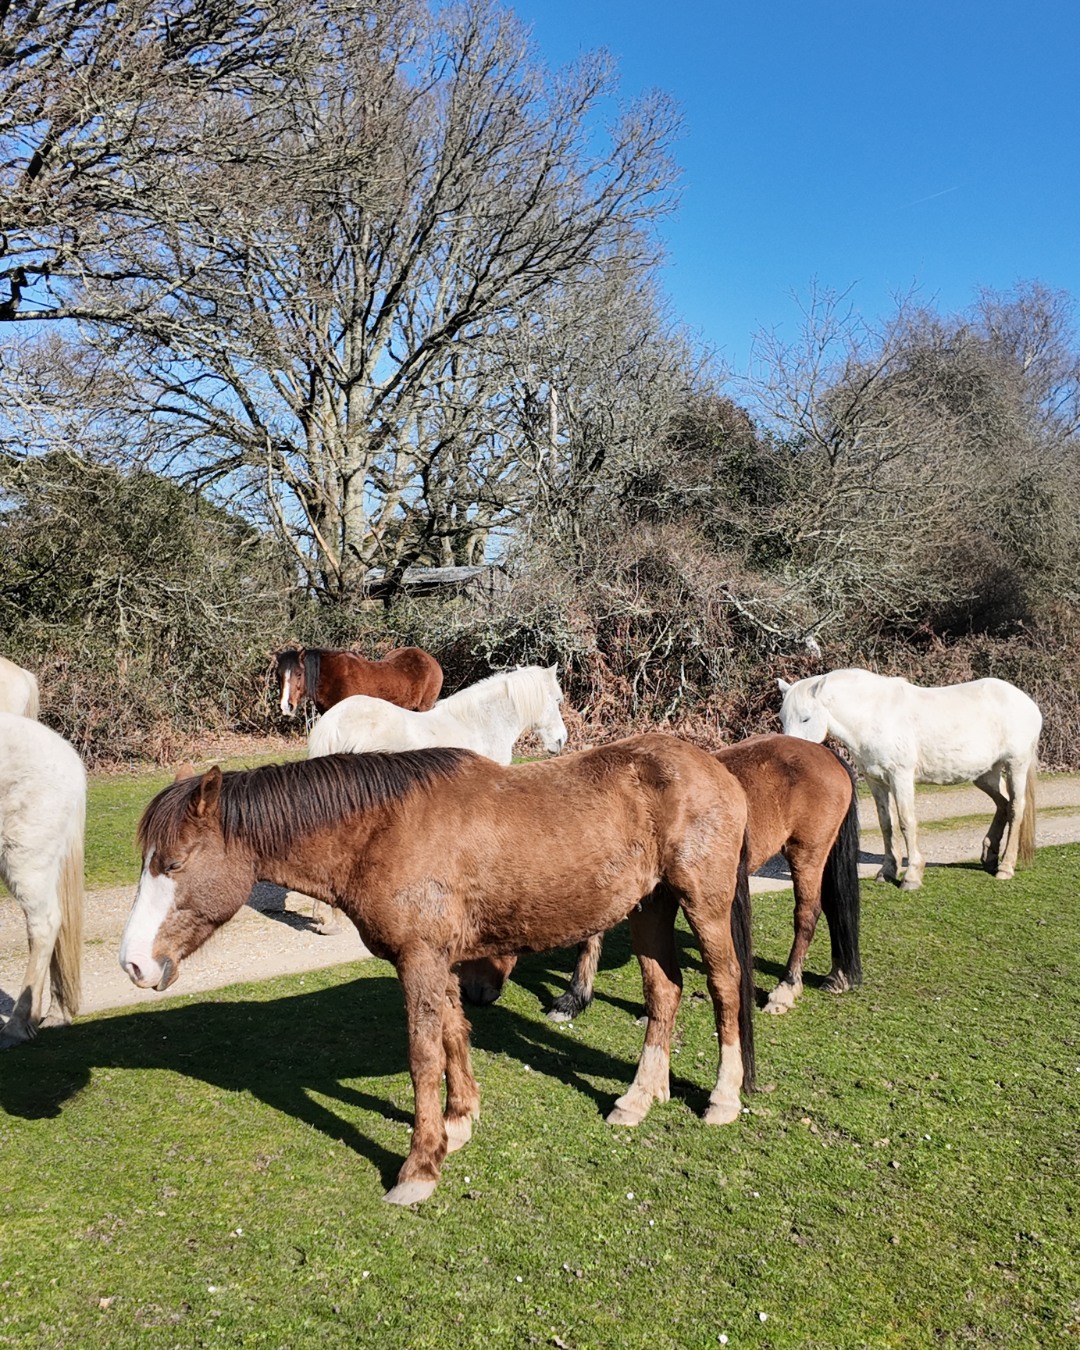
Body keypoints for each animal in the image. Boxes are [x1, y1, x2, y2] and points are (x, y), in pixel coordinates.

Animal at [120, 734, 756, 1205]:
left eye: (174, 863)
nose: (133, 964)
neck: (380, 831)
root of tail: (714, 767)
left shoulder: (420, 961)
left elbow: (424, 1056)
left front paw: (420, 1167)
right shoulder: (440, 963)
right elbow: (453, 1033)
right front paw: (458, 1123)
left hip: (703, 903)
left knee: (723, 985)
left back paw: (723, 1098)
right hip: (649, 909)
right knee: (664, 992)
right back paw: (639, 1097)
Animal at [458, 733, 862, 1018]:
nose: (473, 994)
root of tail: (825, 753)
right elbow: (591, 937)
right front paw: (574, 998)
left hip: (806, 854)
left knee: (807, 914)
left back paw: (785, 989)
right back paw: (838, 976)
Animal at [778, 668, 1042, 890]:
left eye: (805, 718)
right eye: (782, 718)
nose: (789, 756)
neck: (872, 715)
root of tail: (1028, 703)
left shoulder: (900, 777)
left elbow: (906, 822)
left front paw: (912, 876)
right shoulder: (877, 782)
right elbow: (886, 824)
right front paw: (887, 872)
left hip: (1016, 765)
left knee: (1016, 808)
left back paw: (1005, 867)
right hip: (986, 774)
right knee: (1003, 803)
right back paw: (989, 856)